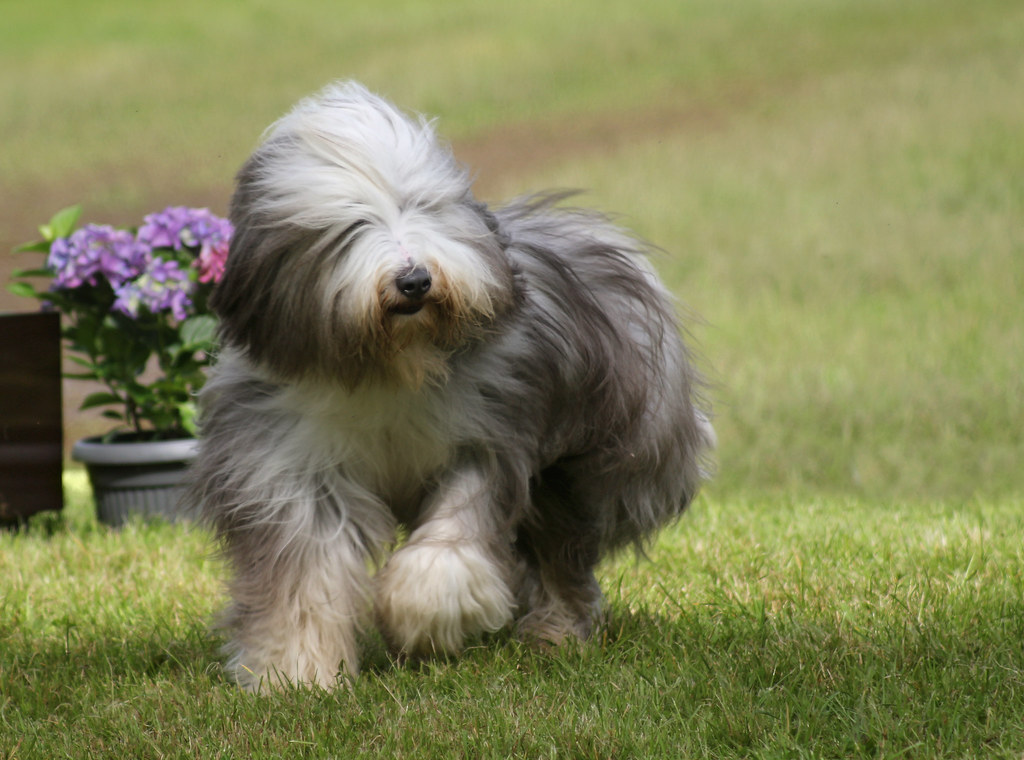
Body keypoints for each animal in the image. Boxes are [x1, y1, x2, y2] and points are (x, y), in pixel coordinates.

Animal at [186, 81, 712, 692]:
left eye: (423, 207)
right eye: (348, 228)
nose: (414, 280)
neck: (388, 368)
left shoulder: (487, 437)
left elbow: (453, 537)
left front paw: (422, 617)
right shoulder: (290, 467)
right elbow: (304, 577)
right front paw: (294, 674)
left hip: (582, 461)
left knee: (561, 553)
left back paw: (555, 635)